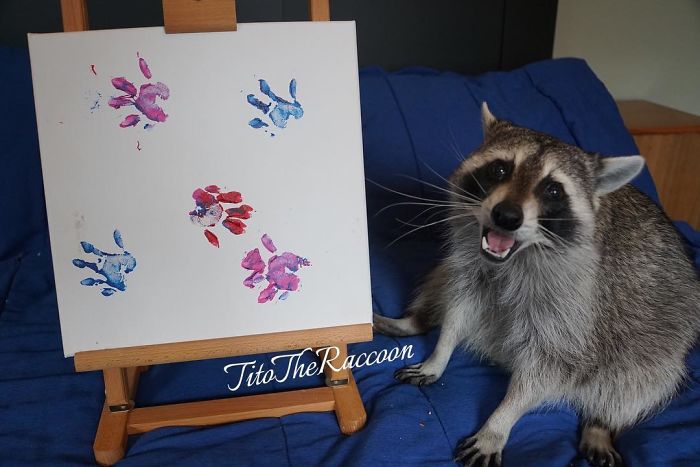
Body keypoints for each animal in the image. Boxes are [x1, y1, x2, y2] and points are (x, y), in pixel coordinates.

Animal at [374, 103, 700, 467]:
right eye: (500, 169)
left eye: (553, 190)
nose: (506, 216)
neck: (513, 257)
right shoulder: (472, 269)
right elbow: (457, 311)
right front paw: (439, 354)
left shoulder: (578, 308)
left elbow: (549, 368)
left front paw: (498, 422)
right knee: (439, 280)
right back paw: (414, 320)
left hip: (659, 343)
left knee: (641, 381)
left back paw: (601, 424)